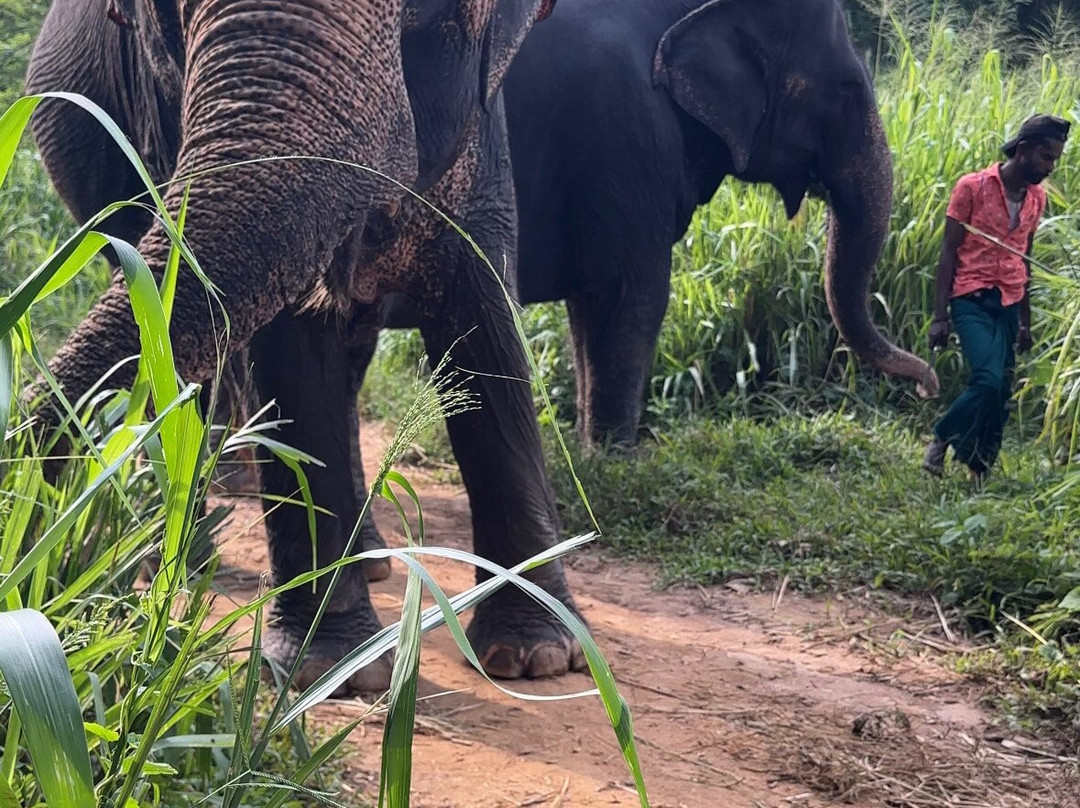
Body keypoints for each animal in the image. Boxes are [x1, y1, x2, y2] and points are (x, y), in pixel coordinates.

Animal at [22, 0, 585, 696]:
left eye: (425, 14)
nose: (24, 467)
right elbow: (293, 348)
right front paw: (332, 672)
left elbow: (485, 319)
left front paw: (538, 657)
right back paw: (177, 561)